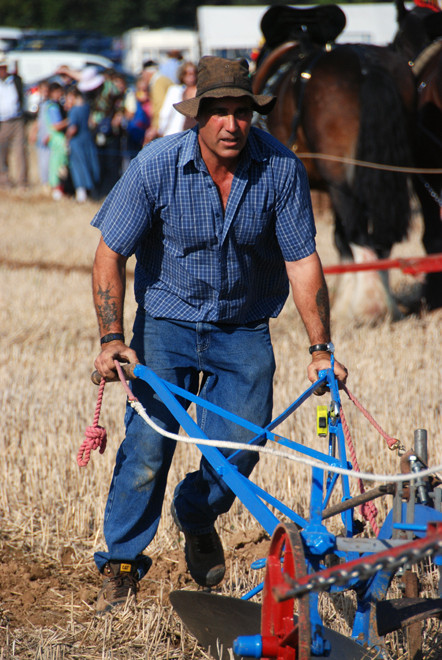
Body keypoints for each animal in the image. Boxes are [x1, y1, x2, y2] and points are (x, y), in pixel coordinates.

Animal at [252, 3, 418, 324]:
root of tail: (366, 66)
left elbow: (340, 240)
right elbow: (341, 240)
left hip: (340, 181)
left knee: (359, 237)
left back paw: (369, 307)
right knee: (381, 240)